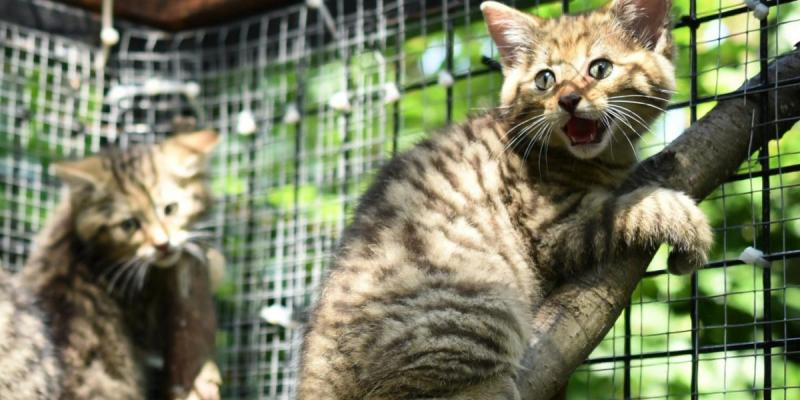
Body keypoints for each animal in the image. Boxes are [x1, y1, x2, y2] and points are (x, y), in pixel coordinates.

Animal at [302, 0, 712, 400]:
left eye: (600, 68)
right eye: (545, 79)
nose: (568, 99)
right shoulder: (553, 228)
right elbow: (634, 207)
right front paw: (687, 222)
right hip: (479, 302)